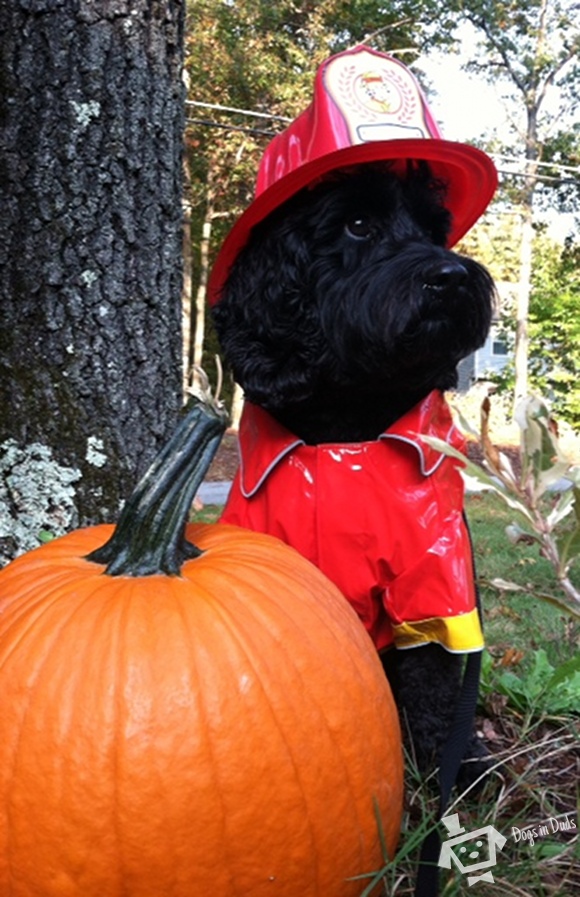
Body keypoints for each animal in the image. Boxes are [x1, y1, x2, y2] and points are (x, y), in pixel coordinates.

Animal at [213, 163, 494, 784]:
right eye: (358, 225)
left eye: (432, 230)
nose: (453, 277)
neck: (348, 434)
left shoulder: (435, 578)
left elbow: (435, 677)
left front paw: (451, 764)